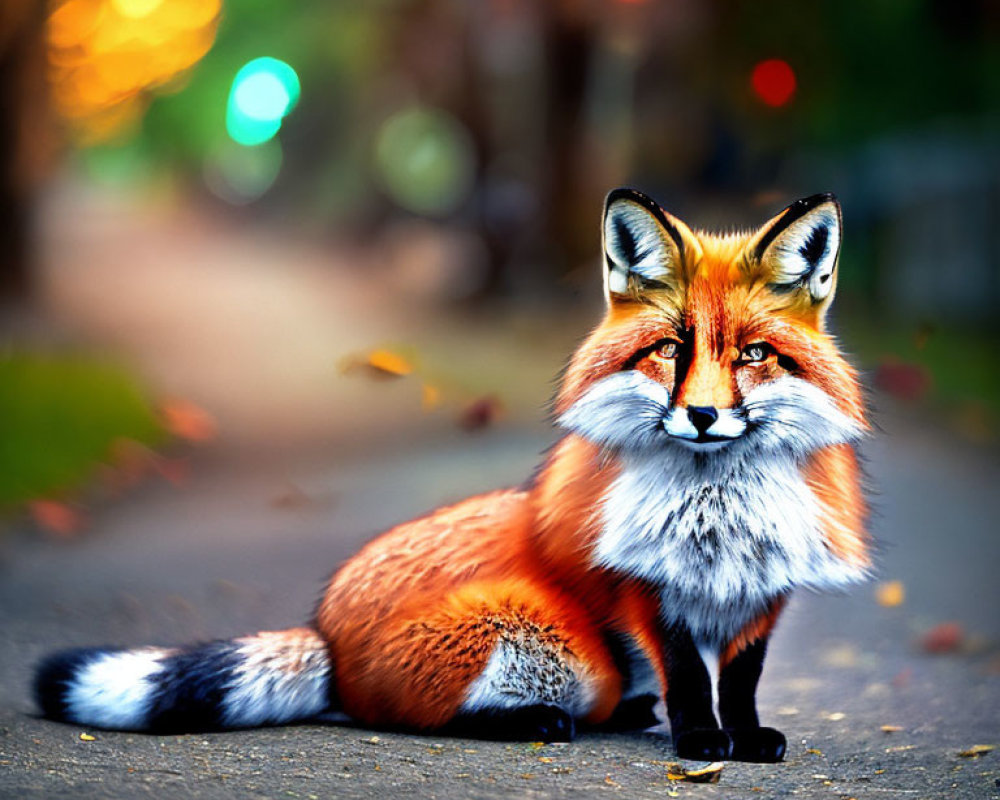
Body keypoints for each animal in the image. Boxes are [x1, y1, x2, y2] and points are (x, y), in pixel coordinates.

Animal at [35, 188, 868, 764]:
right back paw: (539, 720)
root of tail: (327, 630)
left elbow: (741, 679)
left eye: (752, 355)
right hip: (557, 652)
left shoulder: (766, 589)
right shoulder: (645, 587)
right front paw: (700, 740)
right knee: (407, 715)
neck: (715, 518)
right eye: (670, 348)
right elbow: (690, 676)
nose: (699, 416)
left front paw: (745, 736)